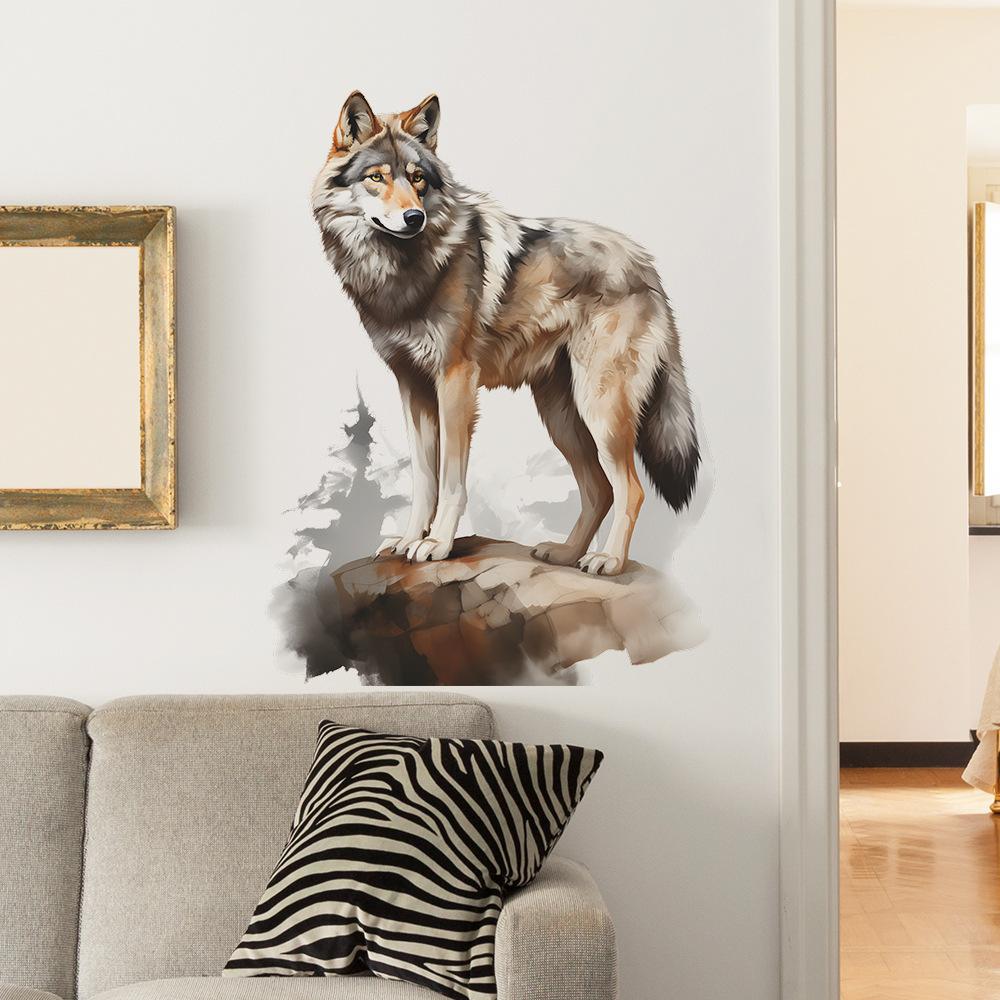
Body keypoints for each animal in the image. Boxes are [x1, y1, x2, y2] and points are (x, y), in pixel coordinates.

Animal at [311, 92, 700, 576]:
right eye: (376, 177)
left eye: (418, 179)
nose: (414, 217)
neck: (401, 272)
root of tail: (647, 265)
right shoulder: (411, 385)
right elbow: (423, 478)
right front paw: (408, 540)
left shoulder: (456, 381)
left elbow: (451, 480)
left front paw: (436, 544)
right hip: (560, 415)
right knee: (599, 489)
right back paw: (566, 554)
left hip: (600, 408)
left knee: (631, 487)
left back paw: (607, 559)